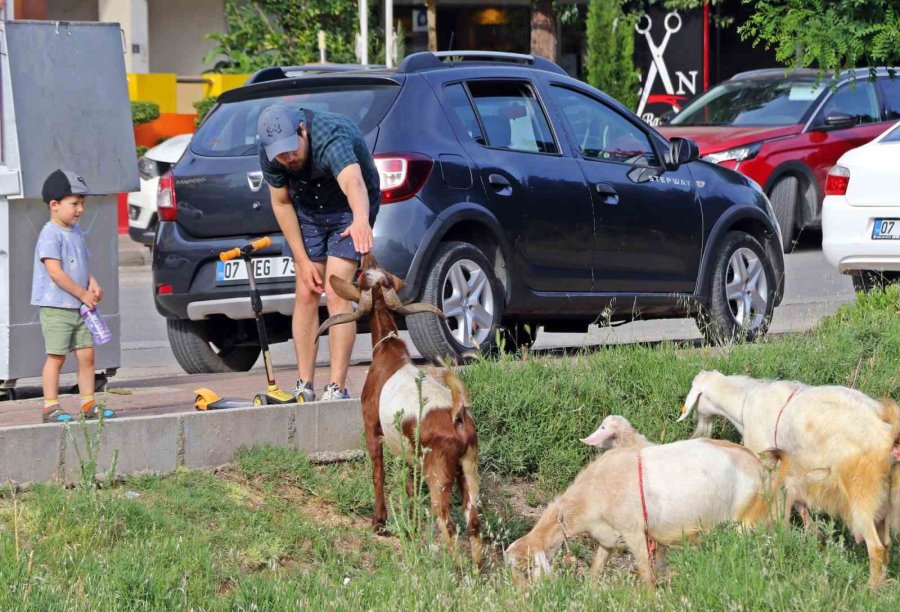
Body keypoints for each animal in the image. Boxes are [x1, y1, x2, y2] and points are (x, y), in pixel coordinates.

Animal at [318, 252, 486, 564]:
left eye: (360, 278)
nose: (366, 253)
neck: (388, 350)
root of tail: (457, 416)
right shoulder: (409, 453)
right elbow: (409, 487)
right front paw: (411, 526)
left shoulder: (371, 427)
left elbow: (378, 473)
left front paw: (379, 522)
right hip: (469, 466)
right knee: (473, 521)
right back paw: (477, 569)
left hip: (438, 470)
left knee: (446, 520)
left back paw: (453, 568)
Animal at [502, 438, 776, 584]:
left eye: (525, 569)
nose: (521, 599)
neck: (592, 493)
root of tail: (760, 466)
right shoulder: (608, 538)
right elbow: (595, 572)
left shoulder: (634, 533)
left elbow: (647, 577)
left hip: (747, 522)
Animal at [680, 370, 896, 584]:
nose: (696, 433)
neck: (743, 403)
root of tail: (889, 435)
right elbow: (799, 503)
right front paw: (815, 535)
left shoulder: (768, 465)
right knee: (886, 543)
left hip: (863, 492)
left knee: (876, 547)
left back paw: (870, 587)